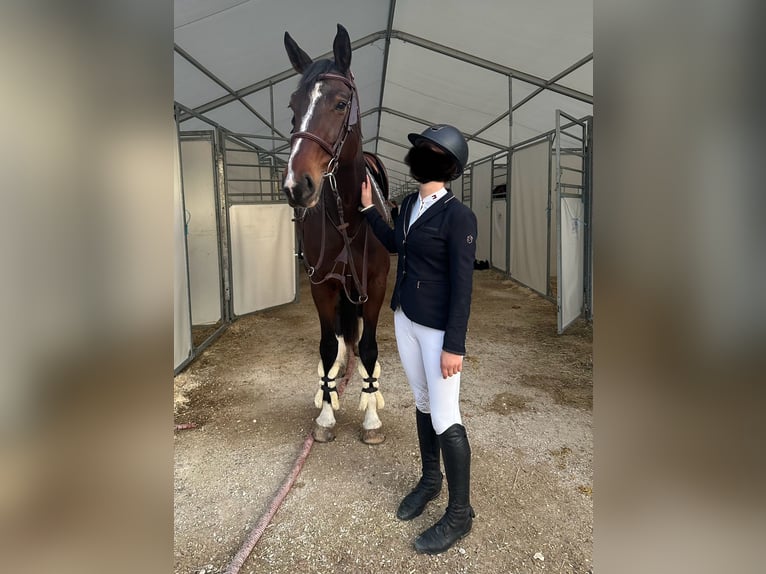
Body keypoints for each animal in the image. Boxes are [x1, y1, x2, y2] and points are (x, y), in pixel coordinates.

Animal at [282, 24, 392, 448]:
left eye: (341, 103)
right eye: (292, 107)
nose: (297, 186)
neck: (348, 214)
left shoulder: (374, 284)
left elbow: (371, 346)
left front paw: (372, 416)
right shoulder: (322, 285)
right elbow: (329, 346)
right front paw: (327, 414)